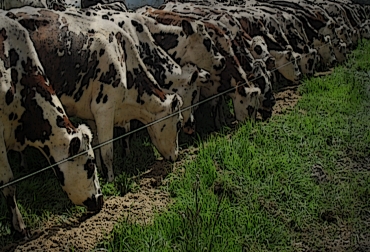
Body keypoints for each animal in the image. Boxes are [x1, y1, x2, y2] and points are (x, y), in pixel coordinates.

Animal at [6, 7, 183, 183]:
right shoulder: (104, 109)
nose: (175, 156)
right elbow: (107, 151)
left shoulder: (91, 113)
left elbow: (96, 143)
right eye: (179, 124)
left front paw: (99, 169)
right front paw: (110, 179)